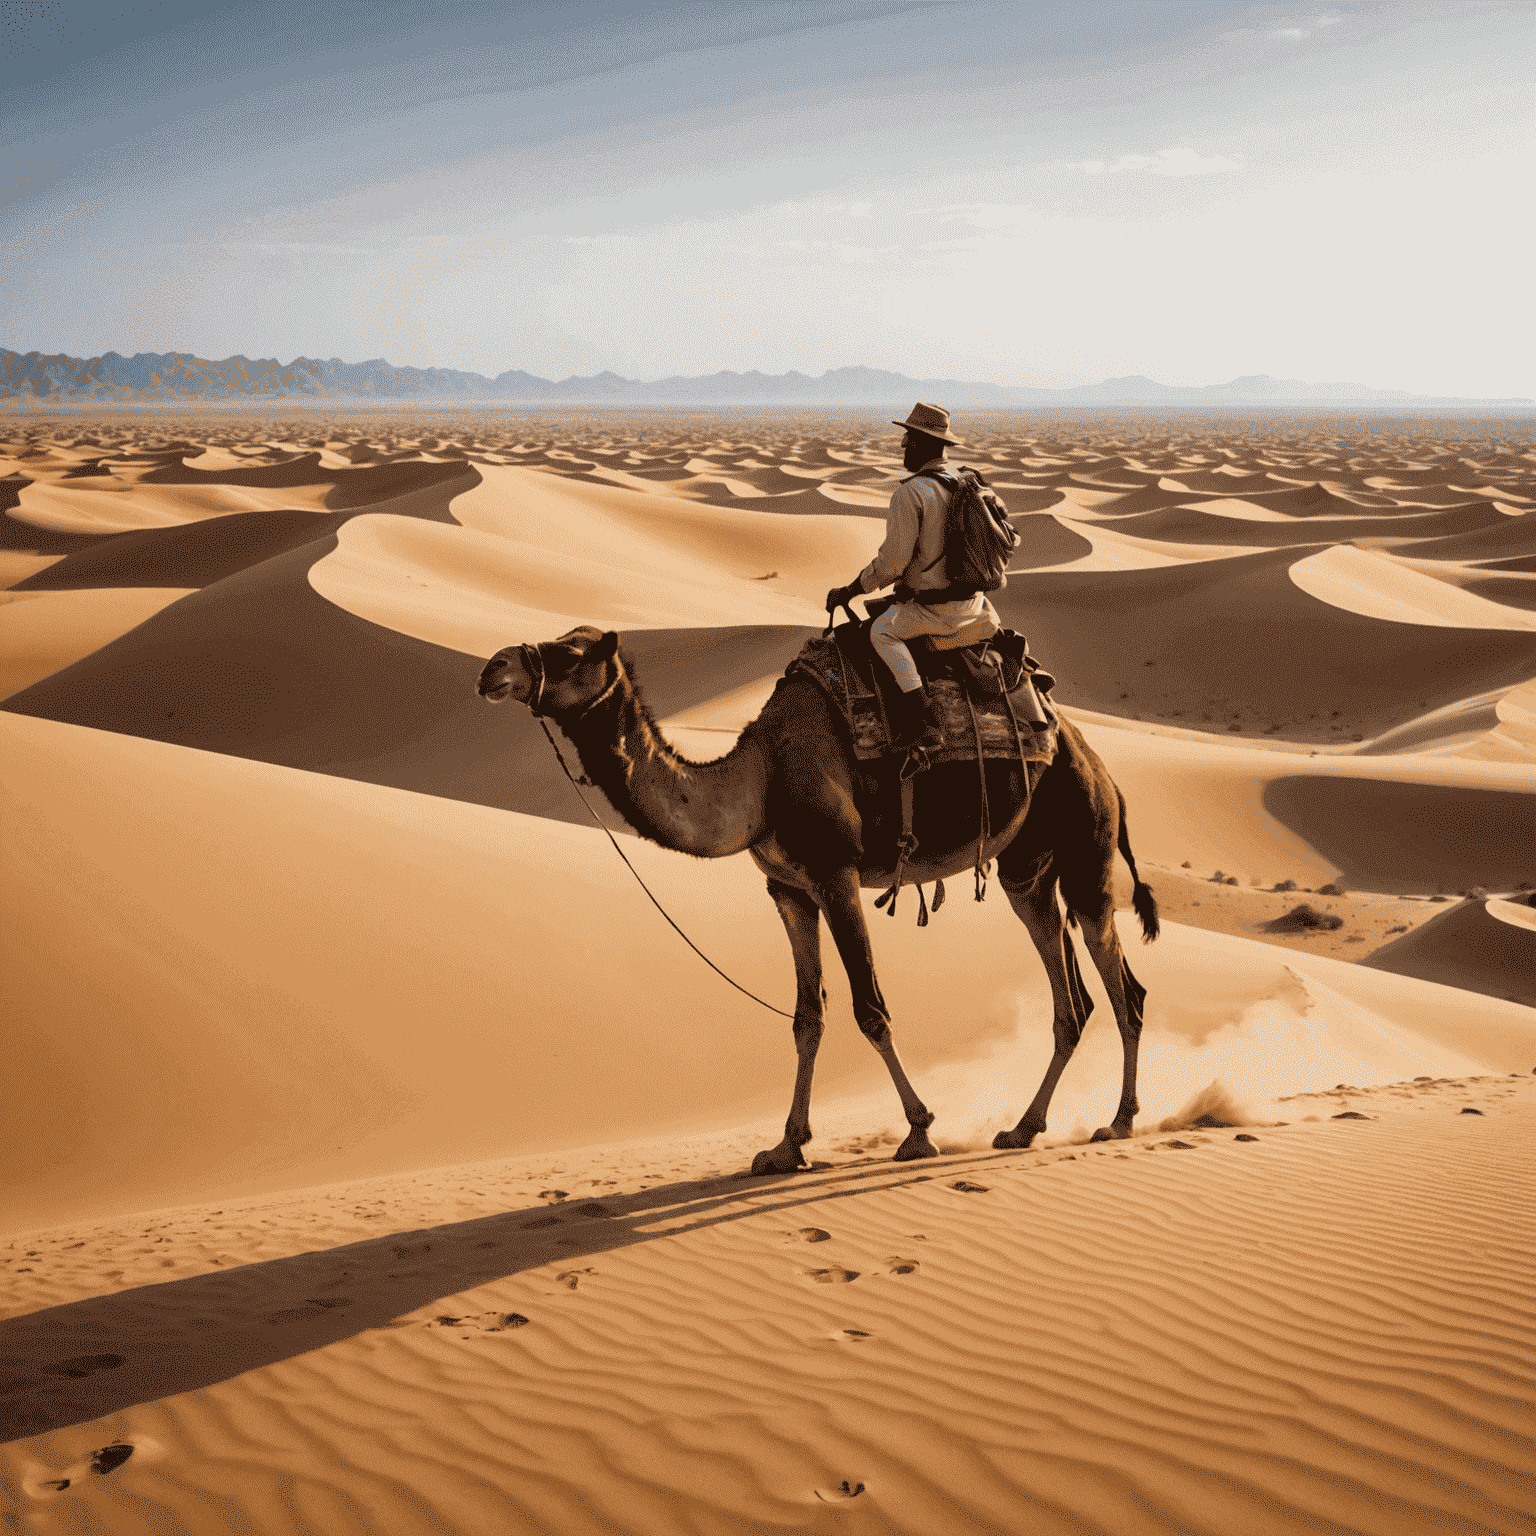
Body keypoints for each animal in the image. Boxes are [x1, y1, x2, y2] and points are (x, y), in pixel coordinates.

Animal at [476, 623, 1155, 1173]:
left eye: (570, 654)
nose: (493, 669)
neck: (763, 780)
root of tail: (1103, 768)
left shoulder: (836, 873)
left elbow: (870, 1008)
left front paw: (918, 1132)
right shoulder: (789, 889)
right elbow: (808, 1016)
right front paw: (785, 1147)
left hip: (1084, 848)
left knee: (1121, 985)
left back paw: (1118, 1121)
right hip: (1025, 870)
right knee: (1074, 998)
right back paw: (1023, 1128)